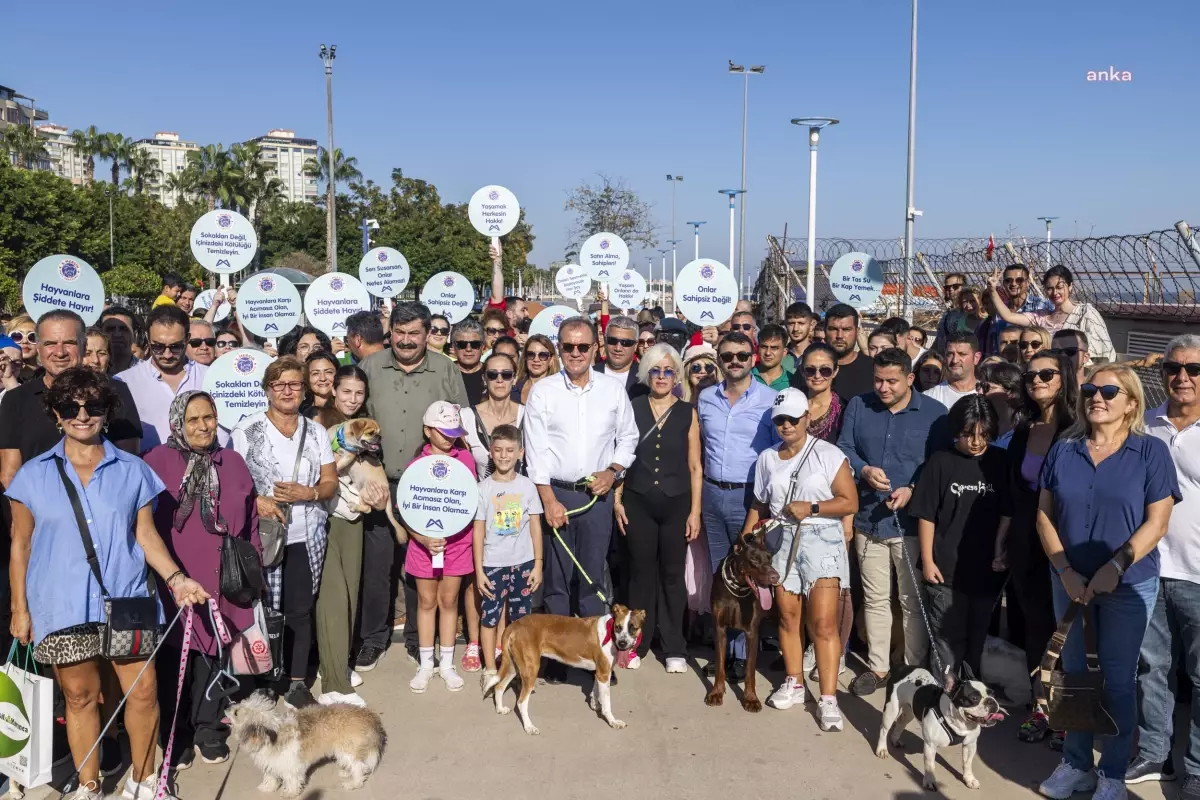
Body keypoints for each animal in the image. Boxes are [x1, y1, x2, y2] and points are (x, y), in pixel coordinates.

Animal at [226, 690, 386, 796]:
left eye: (236, 712)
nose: (226, 706)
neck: (271, 734)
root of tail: (368, 716)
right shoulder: (271, 764)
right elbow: (271, 777)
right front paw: (268, 788)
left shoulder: (290, 765)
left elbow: (291, 780)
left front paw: (290, 793)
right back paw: (347, 773)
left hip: (347, 750)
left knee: (359, 767)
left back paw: (354, 783)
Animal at [480, 604, 648, 734]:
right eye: (618, 627)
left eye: (633, 628)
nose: (622, 644)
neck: (610, 633)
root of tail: (514, 625)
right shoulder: (604, 673)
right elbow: (607, 703)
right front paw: (612, 721)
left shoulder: (600, 672)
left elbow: (595, 691)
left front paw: (595, 704)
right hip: (530, 668)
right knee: (521, 702)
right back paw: (529, 727)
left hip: (514, 666)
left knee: (499, 686)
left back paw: (500, 709)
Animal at [700, 527, 777, 710]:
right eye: (754, 559)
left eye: (769, 558)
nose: (775, 577)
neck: (738, 588)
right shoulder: (719, 627)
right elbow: (720, 664)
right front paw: (716, 693)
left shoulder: (752, 632)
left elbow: (750, 670)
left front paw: (751, 698)